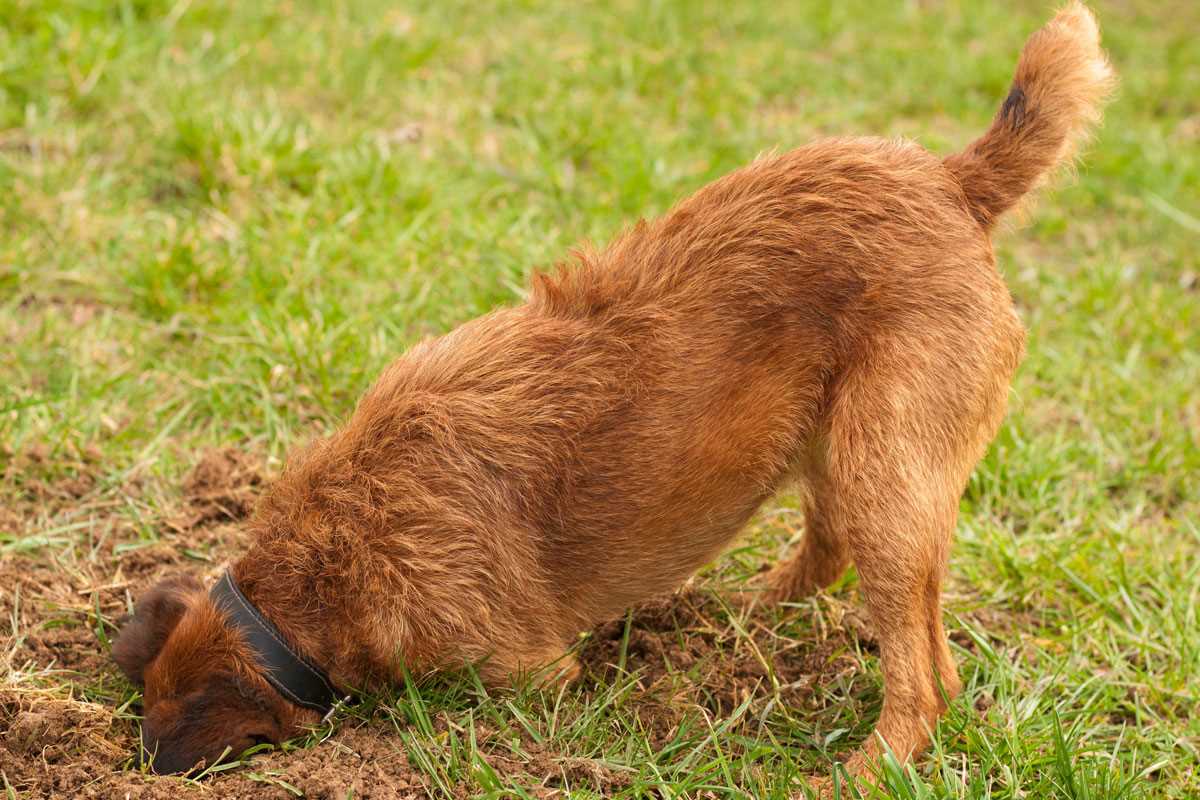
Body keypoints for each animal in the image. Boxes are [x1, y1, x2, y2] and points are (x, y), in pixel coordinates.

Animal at [114, 3, 1113, 786]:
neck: (329, 558)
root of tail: (952, 179)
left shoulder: (523, 671)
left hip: (888, 471)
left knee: (927, 677)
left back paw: (864, 767)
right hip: (844, 446)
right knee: (830, 556)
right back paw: (728, 623)